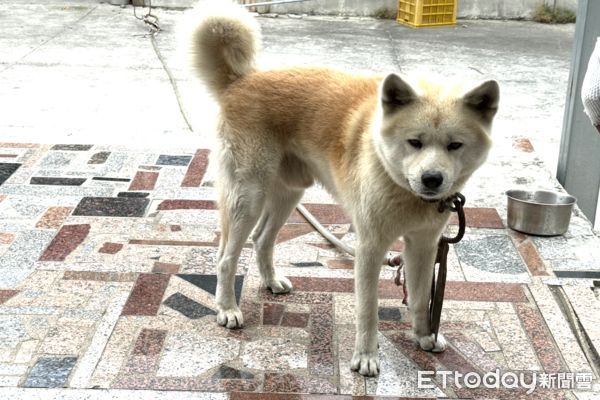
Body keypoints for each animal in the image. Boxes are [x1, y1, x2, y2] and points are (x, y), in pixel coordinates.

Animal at [188, 0, 496, 376]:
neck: (400, 186)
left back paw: (270, 281)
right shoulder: (369, 247)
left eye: (454, 145)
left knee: (261, 240)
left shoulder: (423, 246)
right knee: (225, 258)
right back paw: (227, 308)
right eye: (414, 142)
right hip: (249, 197)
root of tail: (241, 81)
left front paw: (424, 335)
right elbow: (368, 308)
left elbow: (422, 297)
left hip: (289, 191)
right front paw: (365, 356)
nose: (432, 179)